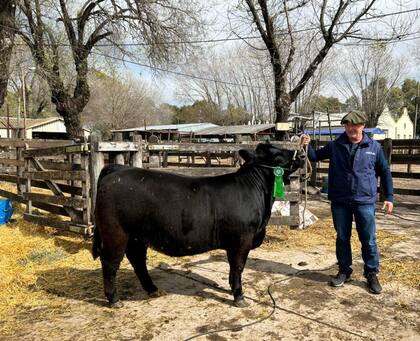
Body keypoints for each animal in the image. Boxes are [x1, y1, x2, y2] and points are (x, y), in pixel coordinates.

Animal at [93, 142, 306, 306]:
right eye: (276, 155)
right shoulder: (242, 239)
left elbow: (232, 268)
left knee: (137, 260)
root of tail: (118, 169)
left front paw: (231, 289)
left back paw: (152, 289)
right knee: (110, 263)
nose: (303, 154)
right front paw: (239, 296)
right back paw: (114, 299)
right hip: (115, 234)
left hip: (137, 237)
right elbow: (238, 267)